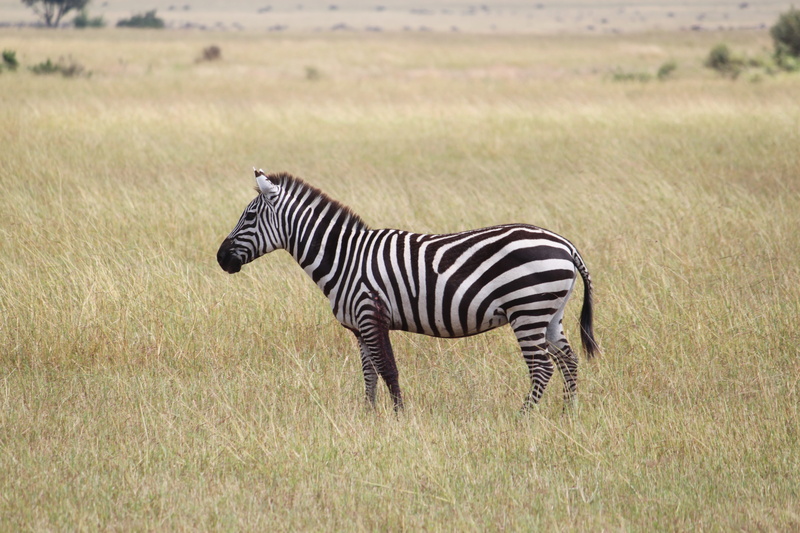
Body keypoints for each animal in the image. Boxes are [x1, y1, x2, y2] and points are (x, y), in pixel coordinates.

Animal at [217, 169, 598, 411]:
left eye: (249, 217)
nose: (220, 259)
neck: (345, 257)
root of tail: (565, 244)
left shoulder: (371, 314)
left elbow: (388, 370)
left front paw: (399, 418)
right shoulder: (359, 327)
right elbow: (369, 374)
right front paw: (368, 417)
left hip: (527, 309)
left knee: (542, 367)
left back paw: (523, 418)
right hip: (550, 312)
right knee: (568, 360)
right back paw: (569, 413)